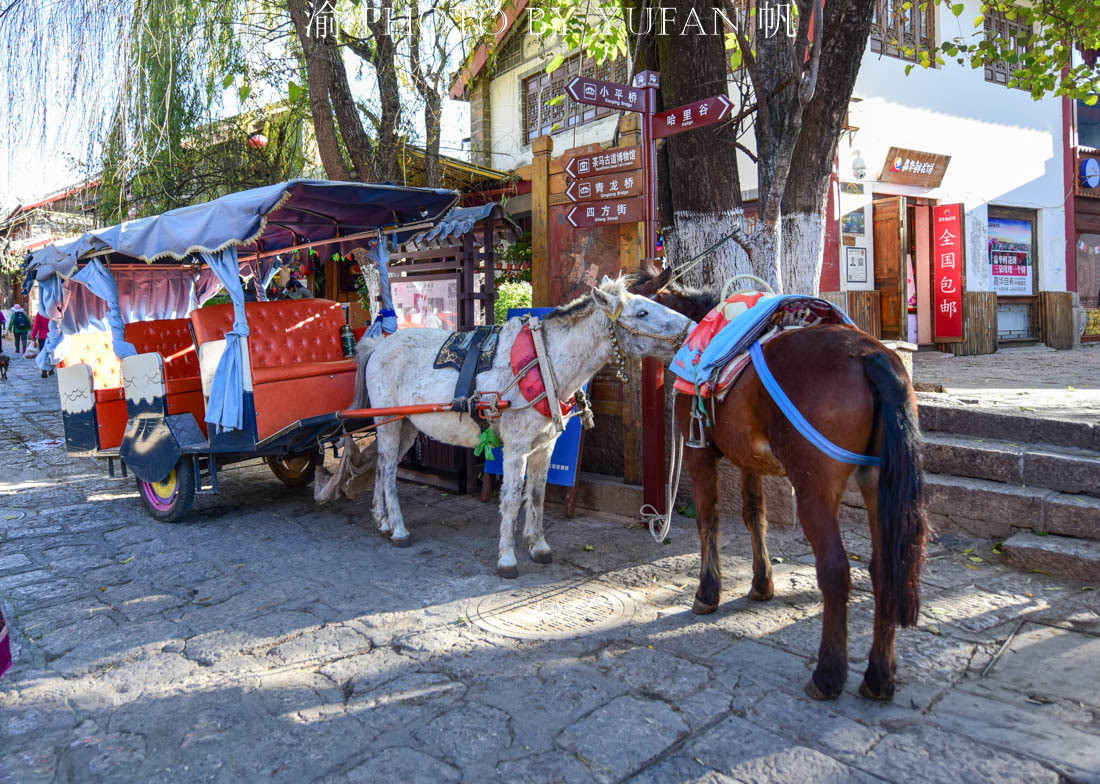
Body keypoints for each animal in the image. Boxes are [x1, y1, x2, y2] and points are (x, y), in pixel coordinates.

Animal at [356, 274, 690, 576]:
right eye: (642, 313)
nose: (689, 329)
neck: (544, 363)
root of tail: (378, 346)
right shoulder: (516, 449)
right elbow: (513, 497)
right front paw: (506, 558)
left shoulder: (545, 446)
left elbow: (538, 493)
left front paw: (538, 545)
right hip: (387, 422)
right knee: (388, 470)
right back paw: (398, 529)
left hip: (407, 424)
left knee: (382, 464)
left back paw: (382, 520)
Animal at [638, 266, 928, 699]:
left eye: (636, 299)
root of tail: (870, 355)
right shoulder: (748, 459)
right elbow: (754, 515)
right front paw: (761, 585)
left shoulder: (698, 451)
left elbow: (709, 519)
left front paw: (708, 593)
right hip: (877, 482)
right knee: (882, 568)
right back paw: (878, 677)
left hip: (814, 486)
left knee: (835, 569)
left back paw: (827, 675)